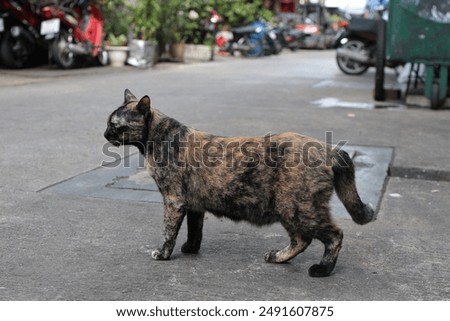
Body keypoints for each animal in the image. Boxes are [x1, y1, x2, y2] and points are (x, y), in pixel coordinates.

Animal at [103, 89, 374, 276]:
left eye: (115, 125)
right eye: (108, 122)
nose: (104, 134)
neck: (159, 137)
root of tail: (329, 149)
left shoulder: (174, 200)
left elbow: (168, 231)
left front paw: (163, 254)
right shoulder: (194, 205)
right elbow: (195, 229)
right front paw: (190, 248)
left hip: (298, 209)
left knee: (334, 235)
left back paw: (322, 269)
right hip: (291, 210)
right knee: (301, 240)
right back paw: (277, 257)